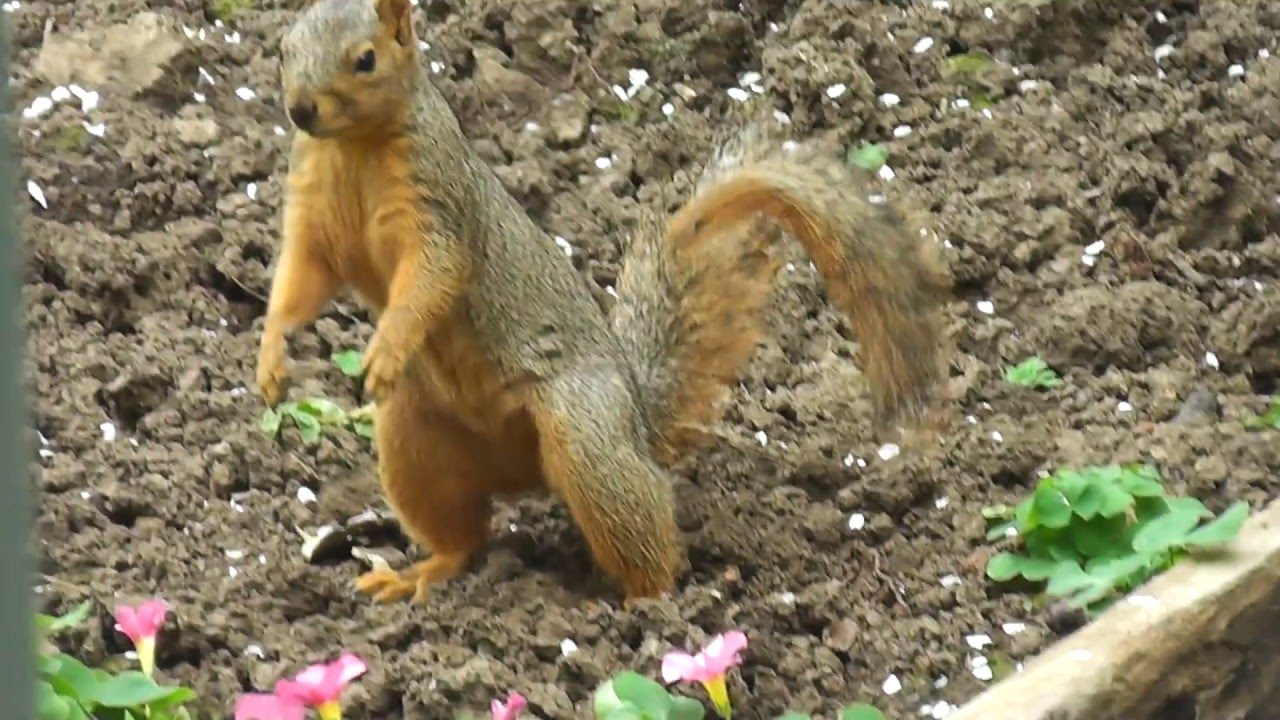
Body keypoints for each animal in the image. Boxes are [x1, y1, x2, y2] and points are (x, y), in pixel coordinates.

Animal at [257, 0, 952, 607]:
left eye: (365, 59)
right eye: (283, 50)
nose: (300, 110)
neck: (354, 149)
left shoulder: (440, 208)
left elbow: (430, 277)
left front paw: (385, 347)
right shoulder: (313, 219)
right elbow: (298, 283)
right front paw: (268, 362)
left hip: (585, 434)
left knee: (643, 533)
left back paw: (645, 606)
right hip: (415, 443)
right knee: (463, 537)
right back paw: (421, 572)